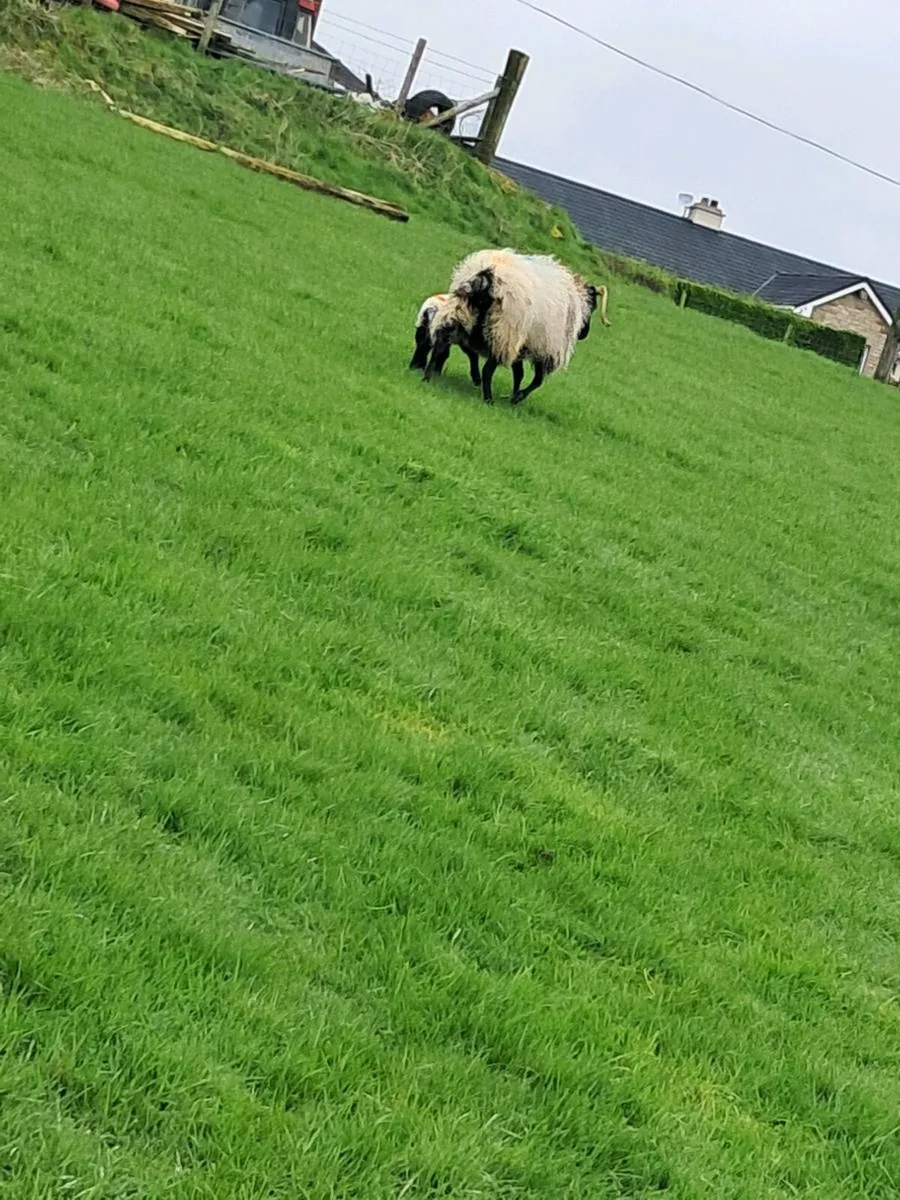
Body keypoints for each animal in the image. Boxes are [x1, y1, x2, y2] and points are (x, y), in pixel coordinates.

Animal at [426, 249, 608, 405]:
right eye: (592, 306)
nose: (584, 333)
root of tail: (486, 275)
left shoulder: (522, 344)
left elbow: (519, 374)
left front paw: (514, 395)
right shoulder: (544, 349)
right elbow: (537, 380)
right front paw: (518, 397)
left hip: (462, 312)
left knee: (443, 344)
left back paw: (429, 377)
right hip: (504, 333)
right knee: (487, 369)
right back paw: (488, 399)